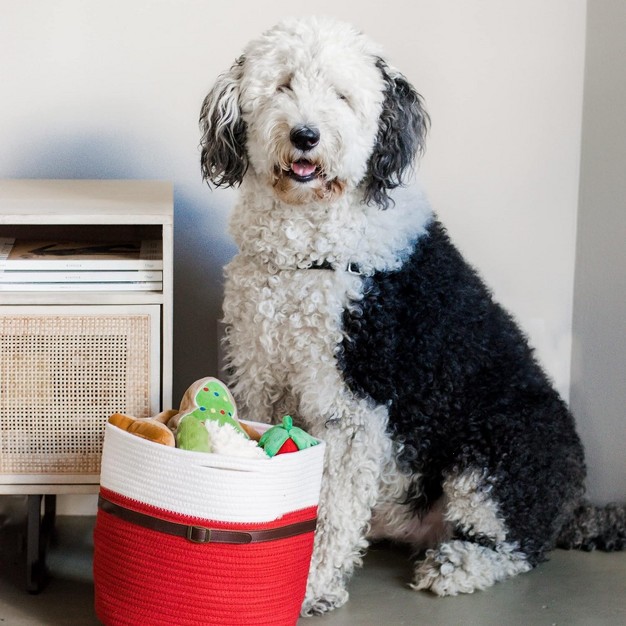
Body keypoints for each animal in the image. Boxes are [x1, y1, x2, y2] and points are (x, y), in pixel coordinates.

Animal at [199, 14, 624, 616]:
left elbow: (331, 506)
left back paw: (457, 565)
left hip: (501, 447)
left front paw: (311, 585)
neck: (307, 251)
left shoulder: (353, 400)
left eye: (342, 95)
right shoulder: (261, 371)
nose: (305, 135)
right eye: (282, 85)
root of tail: (575, 507)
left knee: (516, 548)